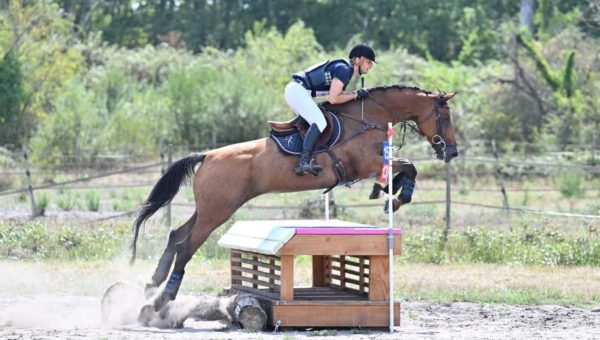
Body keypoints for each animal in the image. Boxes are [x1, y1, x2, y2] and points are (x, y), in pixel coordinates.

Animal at [132, 85, 460, 324]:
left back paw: (151, 285)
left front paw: (387, 192)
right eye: (445, 118)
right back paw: (159, 303)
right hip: (217, 212)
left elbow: (406, 169)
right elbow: (409, 167)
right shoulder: (367, 164)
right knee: (186, 247)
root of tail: (207, 155)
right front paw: (395, 197)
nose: (452, 152)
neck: (370, 117)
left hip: (208, 210)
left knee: (176, 235)